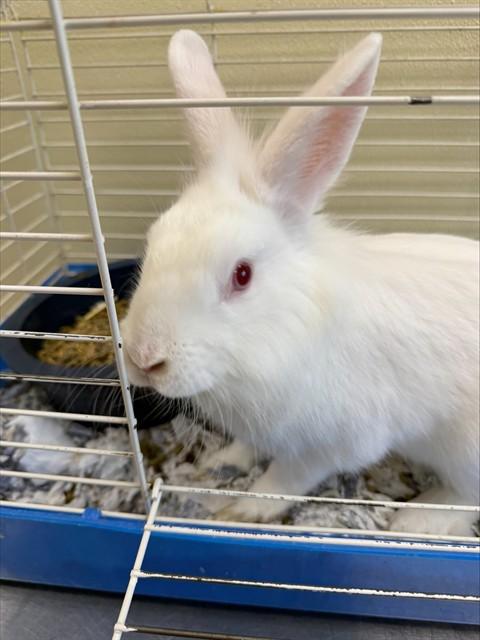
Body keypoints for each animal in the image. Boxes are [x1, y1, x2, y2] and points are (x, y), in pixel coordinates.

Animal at [121, 30, 479, 536]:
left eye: (242, 275)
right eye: (152, 244)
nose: (144, 359)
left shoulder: (336, 441)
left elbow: (288, 476)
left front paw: (245, 508)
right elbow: (249, 448)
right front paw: (221, 462)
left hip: (465, 449)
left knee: (468, 496)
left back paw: (417, 518)